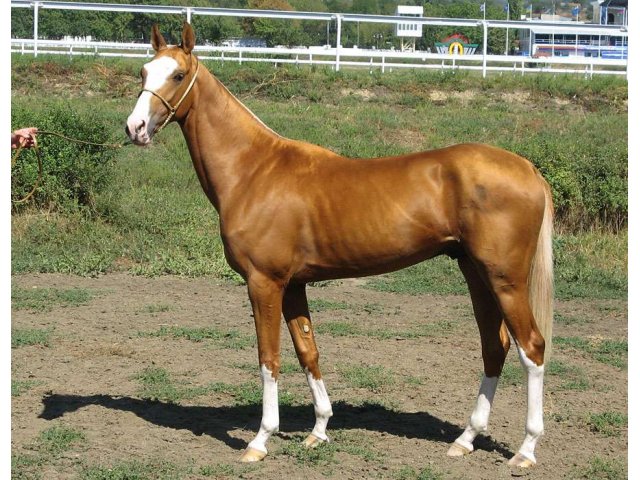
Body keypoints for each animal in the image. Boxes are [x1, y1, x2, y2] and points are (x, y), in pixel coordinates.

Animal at [126, 23, 556, 468]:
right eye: (143, 72)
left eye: (178, 75)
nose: (135, 127)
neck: (254, 171)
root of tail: (527, 168)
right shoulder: (293, 285)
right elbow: (307, 351)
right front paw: (318, 430)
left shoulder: (264, 283)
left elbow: (269, 358)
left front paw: (260, 440)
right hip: (476, 274)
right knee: (494, 347)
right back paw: (465, 438)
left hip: (505, 281)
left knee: (532, 348)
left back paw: (525, 449)